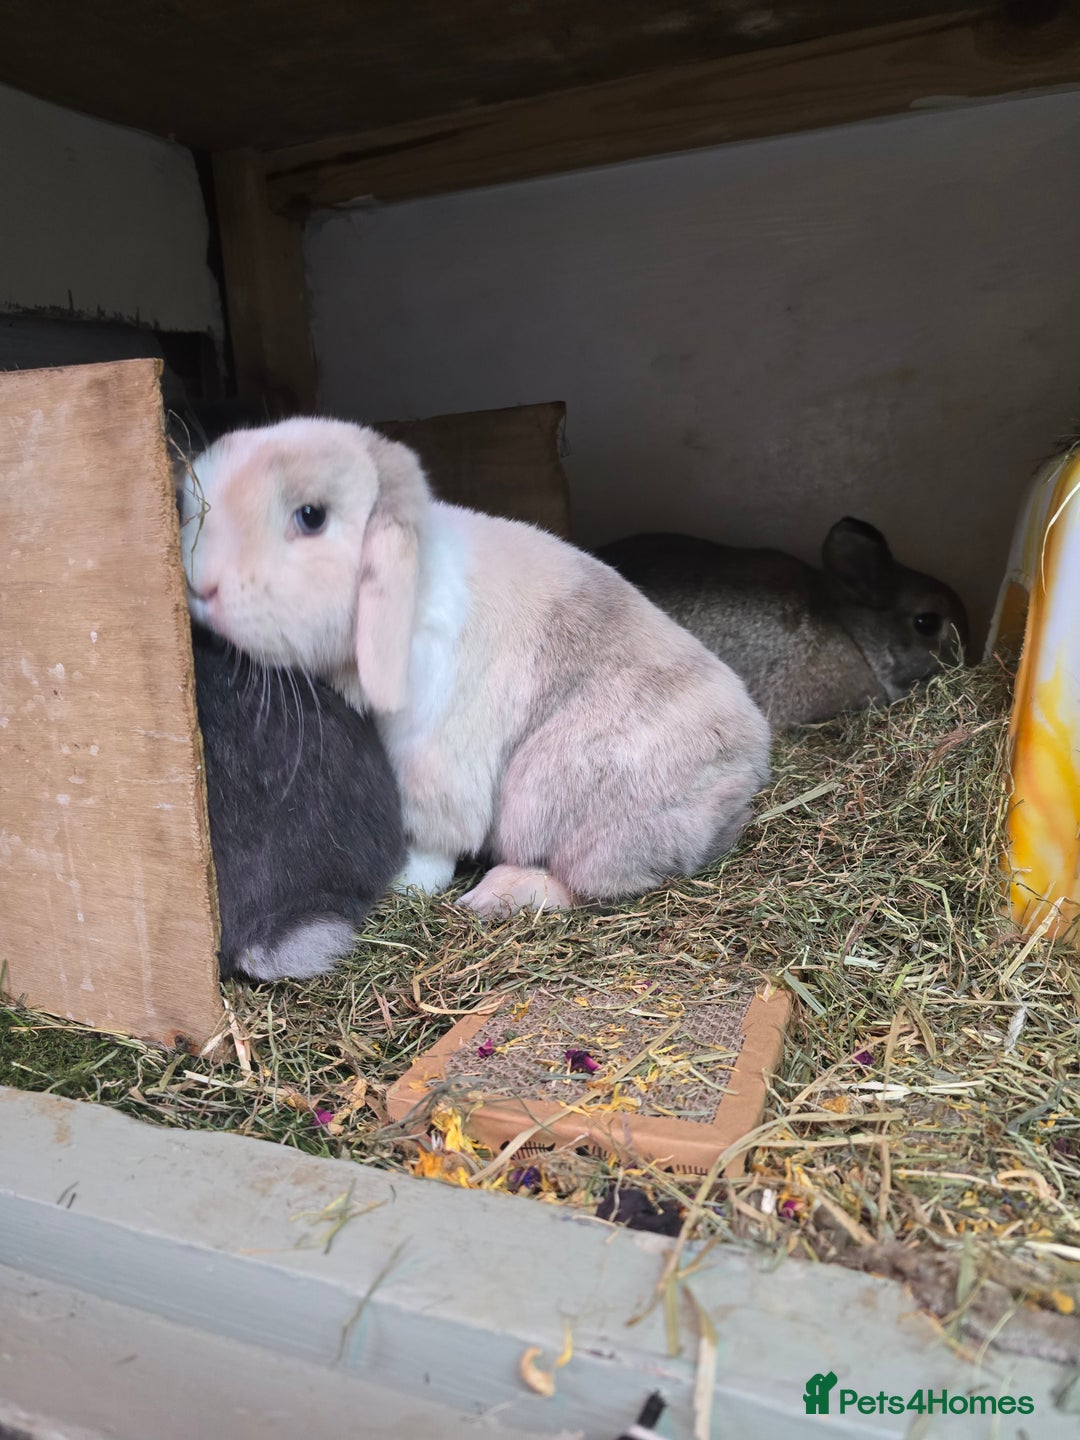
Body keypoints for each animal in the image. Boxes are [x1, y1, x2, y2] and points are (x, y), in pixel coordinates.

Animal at [177, 418, 771, 919]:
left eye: (311, 517)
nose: (200, 584)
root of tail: (749, 770)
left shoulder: (434, 760)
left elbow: (433, 841)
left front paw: (406, 884)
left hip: (554, 793)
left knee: (590, 880)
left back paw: (499, 895)